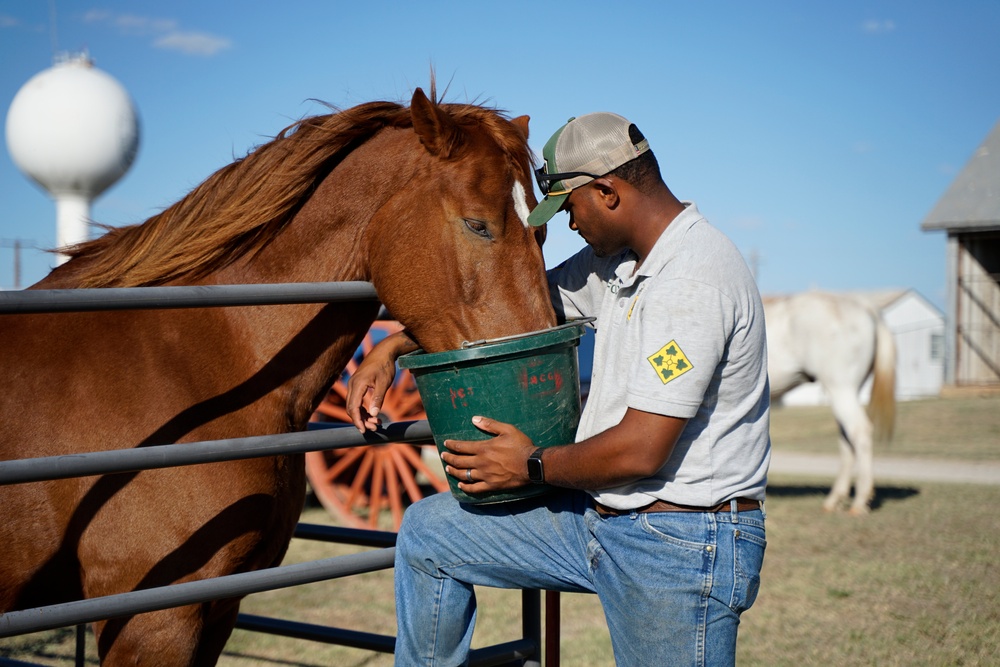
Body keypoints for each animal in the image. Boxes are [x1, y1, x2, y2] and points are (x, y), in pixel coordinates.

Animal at [764, 292, 900, 516]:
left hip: (840, 388)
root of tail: (863, 306)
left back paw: (860, 501)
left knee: (859, 431)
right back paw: (835, 499)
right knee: (847, 438)